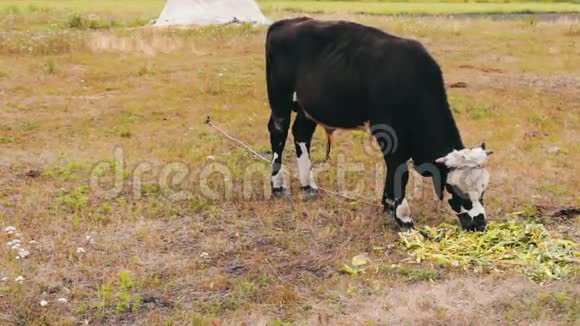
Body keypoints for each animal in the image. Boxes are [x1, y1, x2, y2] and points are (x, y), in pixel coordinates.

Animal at [266, 17, 492, 230]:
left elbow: (393, 170)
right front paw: (403, 217)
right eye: (456, 190)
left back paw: (309, 186)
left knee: (301, 135)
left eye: (483, 190)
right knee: (278, 133)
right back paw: (278, 187)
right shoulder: (388, 131)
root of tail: (286, 22)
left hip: (308, 109)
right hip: (280, 99)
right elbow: (400, 170)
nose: (479, 224)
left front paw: (389, 205)